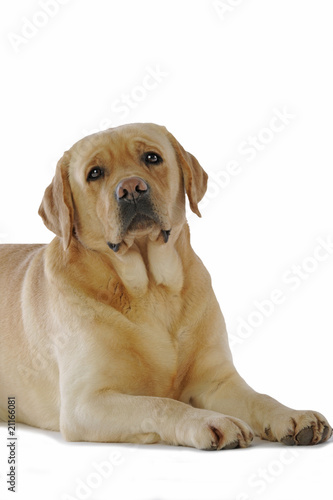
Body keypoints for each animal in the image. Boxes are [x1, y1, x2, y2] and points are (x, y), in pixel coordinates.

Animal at [0, 124, 330, 450]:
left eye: (151, 157)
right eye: (94, 173)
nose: (131, 188)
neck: (151, 290)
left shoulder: (217, 381)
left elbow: (259, 397)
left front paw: (292, 415)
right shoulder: (86, 403)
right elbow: (160, 404)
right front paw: (209, 420)